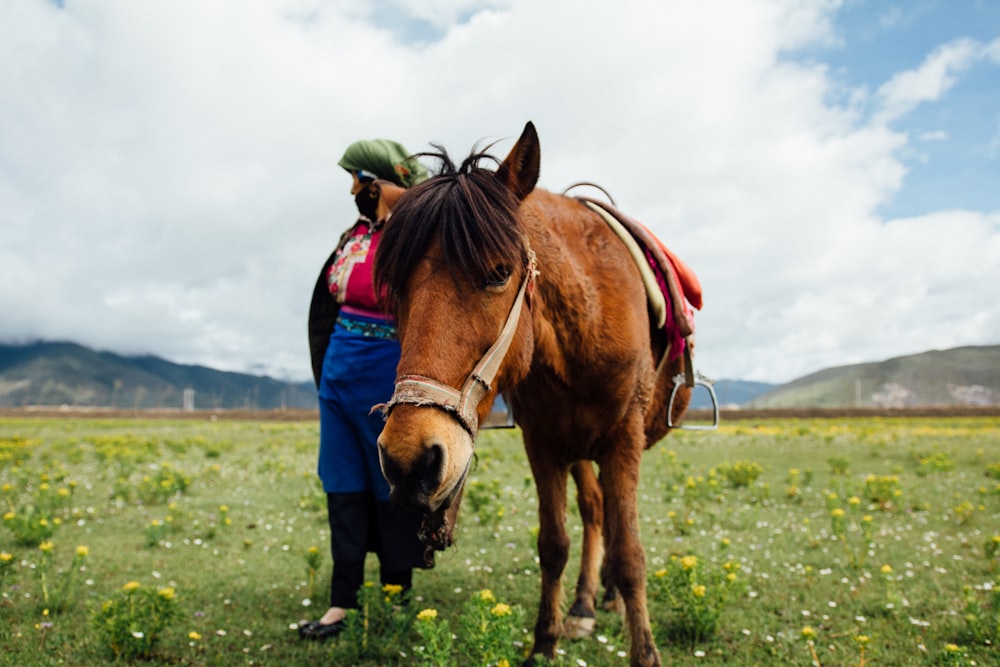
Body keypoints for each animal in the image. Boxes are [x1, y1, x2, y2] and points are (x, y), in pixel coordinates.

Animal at [372, 122, 692, 664]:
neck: (581, 331)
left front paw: (644, 651)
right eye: (395, 286)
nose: (409, 460)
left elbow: (630, 552)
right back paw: (585, 604)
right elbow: (554, 544)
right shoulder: (542, 442)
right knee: (595, 510)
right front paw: (546, 641)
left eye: (500, 272)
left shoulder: (624, 437)